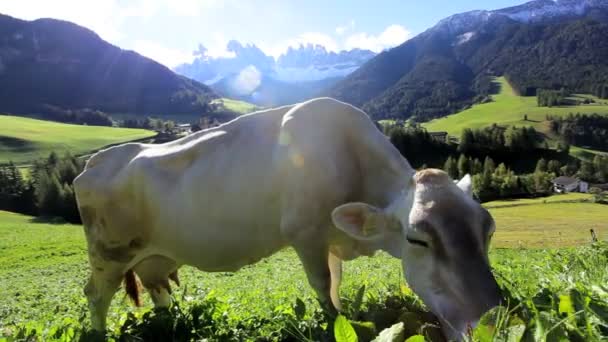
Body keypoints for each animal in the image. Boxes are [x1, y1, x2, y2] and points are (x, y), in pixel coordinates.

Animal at [73, 97, 502, 340]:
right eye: (417, 239)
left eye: (488, 229)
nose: (493, 318)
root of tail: (95, 161)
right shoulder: (305, 233)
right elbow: (323, 288)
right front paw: (332, 323)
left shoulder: (330, 237)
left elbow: (336, 285)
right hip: (108, 253)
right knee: (95, 296)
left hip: (152, 255)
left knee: (158, 290)